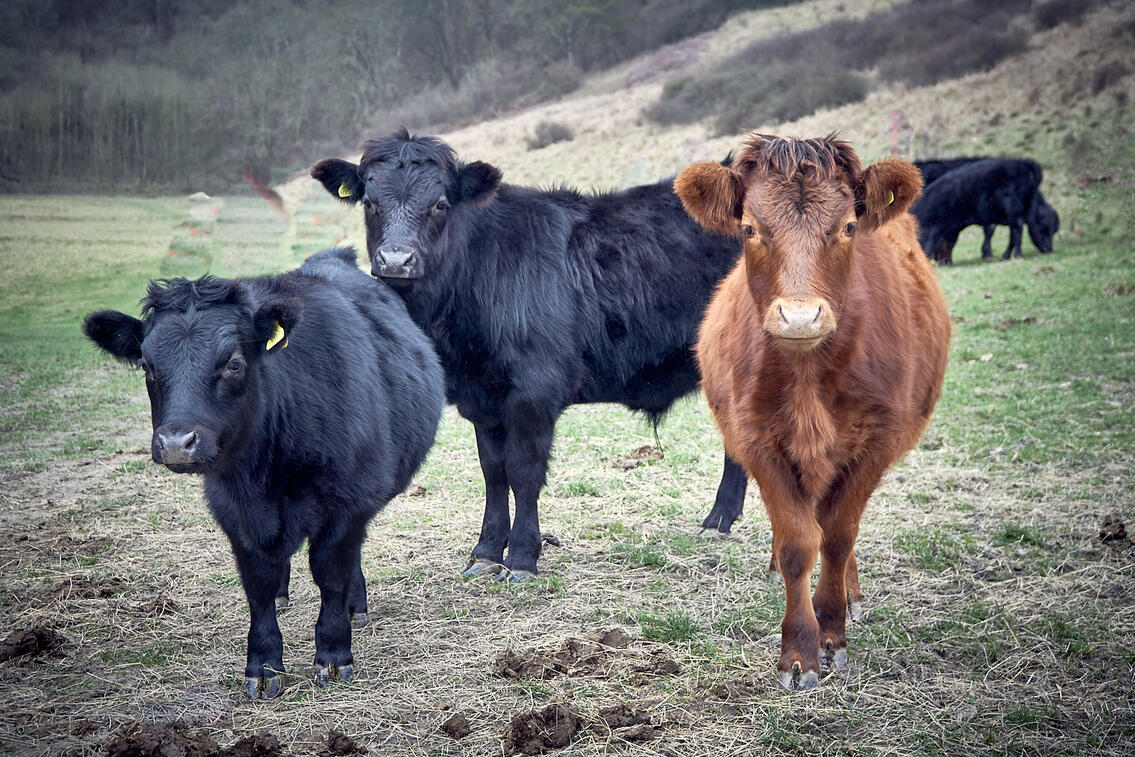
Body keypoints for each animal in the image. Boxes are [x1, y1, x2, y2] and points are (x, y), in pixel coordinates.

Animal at [82, 248, 444, 699]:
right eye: (147, 365)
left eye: (234, 363)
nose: (176, 442)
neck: (270, 467)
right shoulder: (233, 509)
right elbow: (258, 584)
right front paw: (264, 664)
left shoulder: (347, 501)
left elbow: (331, 573)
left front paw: (333, 653)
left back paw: (355, 607)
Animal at [310, 130, 748, 580]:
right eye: (369, 201)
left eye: (440, 203)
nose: (396, 260)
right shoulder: (481, 398)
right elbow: (493, 472)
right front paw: (486, 551)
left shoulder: (534, 391)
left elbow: (523, 471)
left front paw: (521, 556)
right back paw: (719, 520)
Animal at [675, 135, 951, 690]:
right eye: (749, 228)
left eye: (847, 226)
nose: (800, 317)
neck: (807, 378)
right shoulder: (758, 443)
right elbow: (798, 544)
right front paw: (800, 652)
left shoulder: (874, 444)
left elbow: (838, 537)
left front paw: (832, 633)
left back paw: (852, 597)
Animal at [912, 157, 1058, 264]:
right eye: (1043, 229)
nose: (1049, 249)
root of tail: (1024, 163)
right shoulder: (950, 228)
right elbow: (950, 243)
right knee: (1015, 232)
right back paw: (1007, 256)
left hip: (1013, 212)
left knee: (1016, 231)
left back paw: (1015, 255)